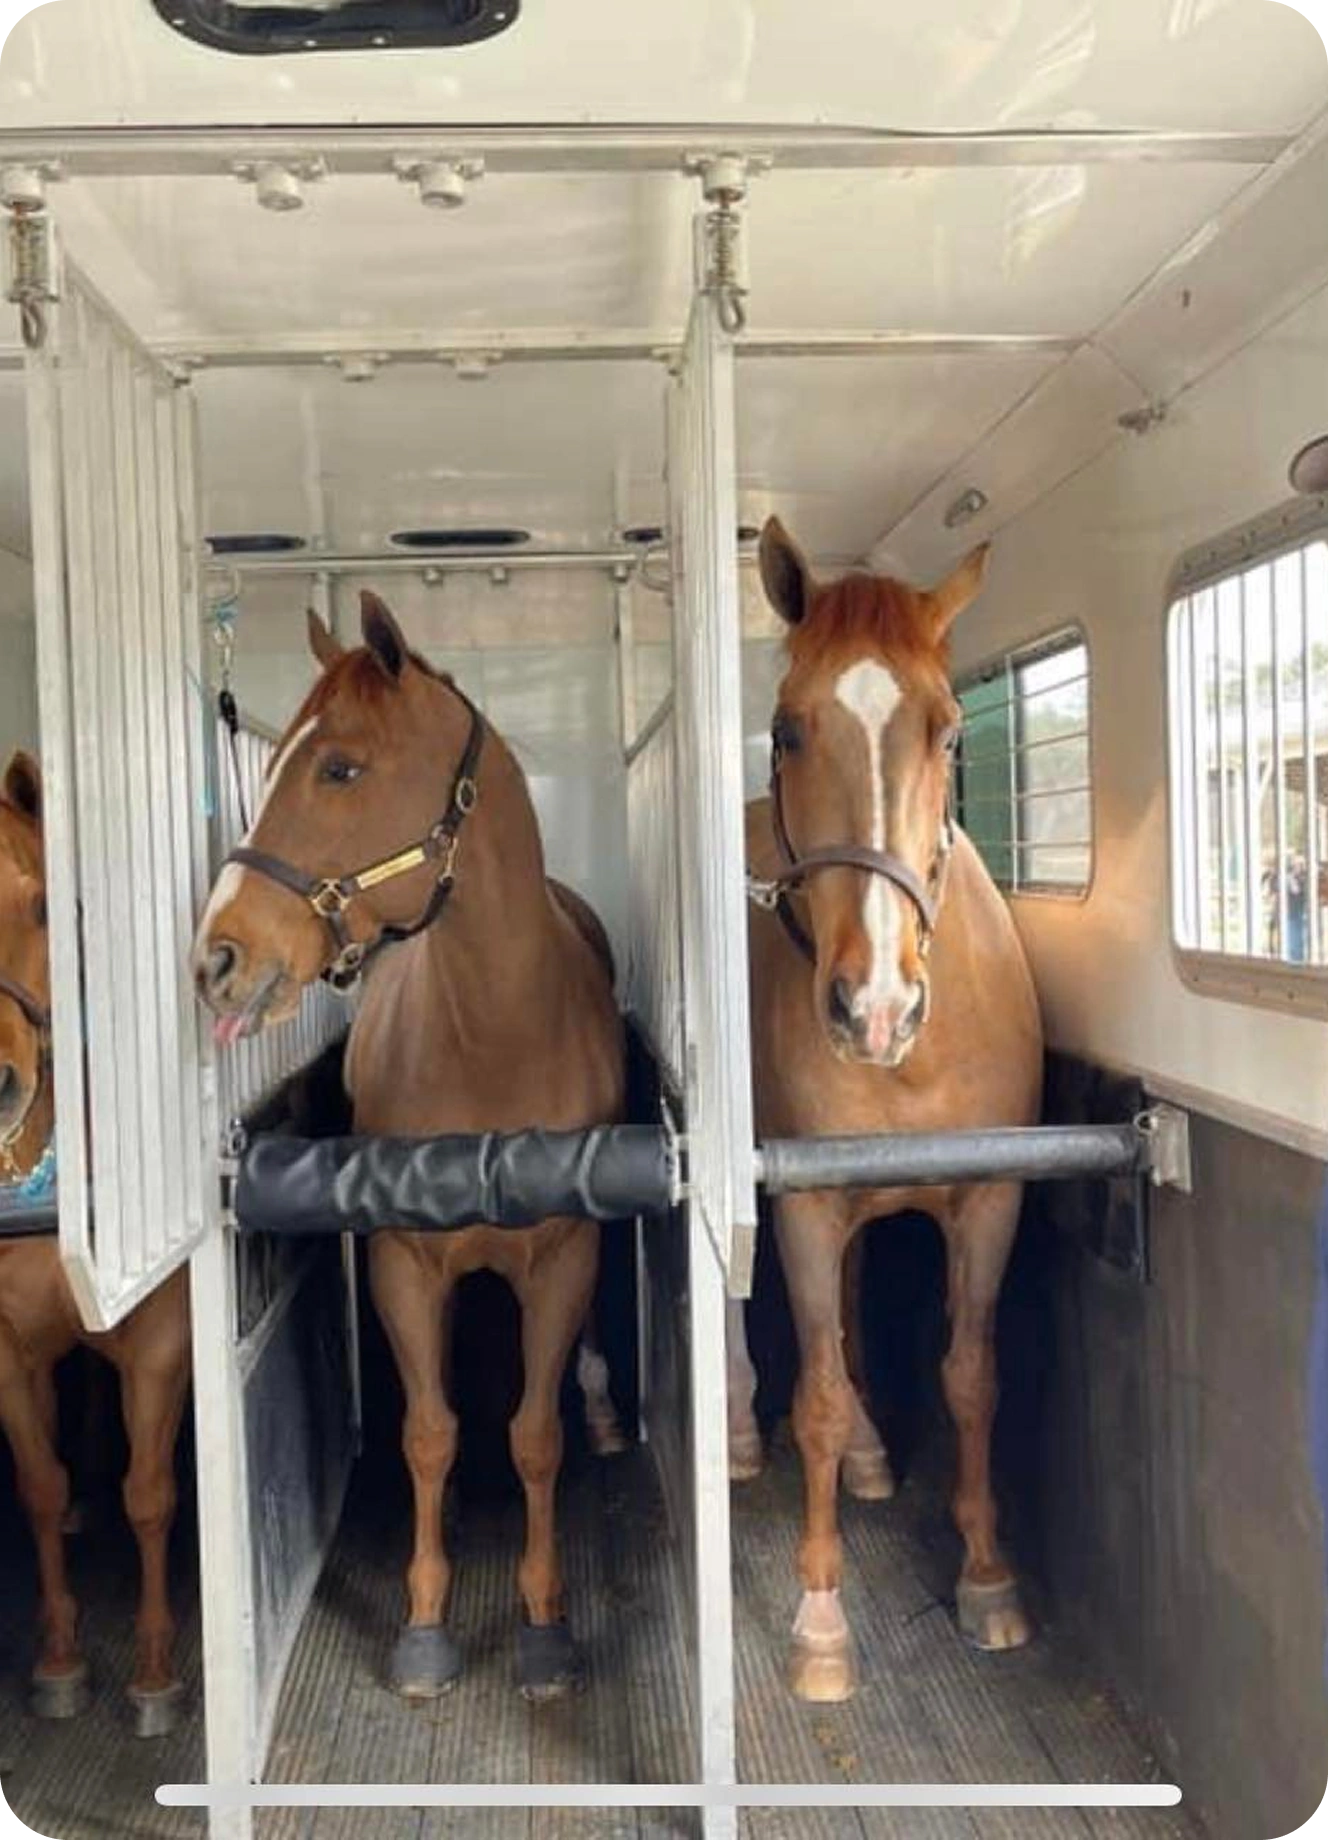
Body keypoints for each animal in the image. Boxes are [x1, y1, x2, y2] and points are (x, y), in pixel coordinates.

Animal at [192, 593, 626, 1700]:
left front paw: (544, 1620)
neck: (496, 1034)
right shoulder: (400, 1261)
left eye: (340, 768)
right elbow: (429, 1433)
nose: (215, 959)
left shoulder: (563, 1258)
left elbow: (534, 1435)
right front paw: (426, 1620)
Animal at [736, 519, 1044, 1702]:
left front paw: (988, 1578)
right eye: (784, 728)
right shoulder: (802, 1209)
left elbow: (973, 1377)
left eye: (948, 728)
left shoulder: (991, 1201)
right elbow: (816, 1397)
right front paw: (821, 1619)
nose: (874, 1007)